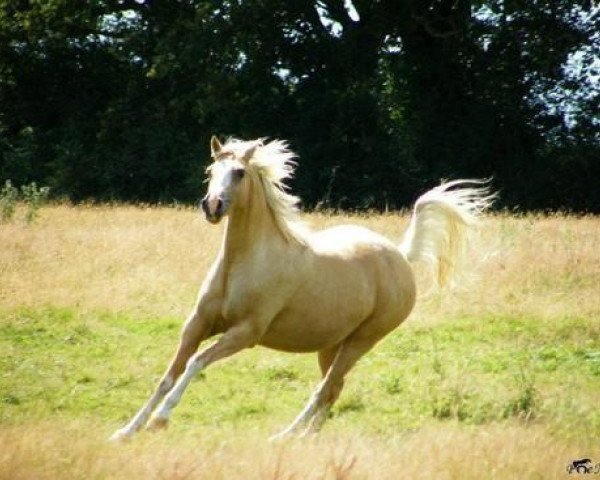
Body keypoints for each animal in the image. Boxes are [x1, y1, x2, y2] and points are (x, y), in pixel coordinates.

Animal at [109, 137, 492, 440]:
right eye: (210, 171)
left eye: (239, 173)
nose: (212, 207)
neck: (242, 264)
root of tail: (399, 255)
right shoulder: (198, 324)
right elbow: (168, 375)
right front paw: (126, 431)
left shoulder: (245, 333)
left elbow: (195, 364)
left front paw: (160, 421)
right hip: (332, 345)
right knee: (333, 389)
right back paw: (306, 437)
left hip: (361, 342)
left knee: (324, 390)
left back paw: (284, 436)